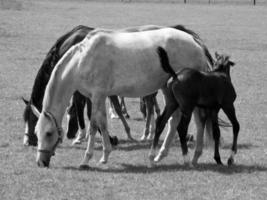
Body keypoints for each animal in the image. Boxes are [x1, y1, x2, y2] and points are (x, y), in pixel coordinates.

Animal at [35, 26, 215, 167]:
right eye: (37, 133)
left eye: (49, 133)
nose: (41, 162)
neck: (82, 60)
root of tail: (194, 41)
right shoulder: (98, 97)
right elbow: (102, 123)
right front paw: (105, 155)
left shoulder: (98, 96)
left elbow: (94, 126)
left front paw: (86, 159)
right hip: (168, 90)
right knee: (174, 120)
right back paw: (160, 155)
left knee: (199, 121)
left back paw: (194, 156)